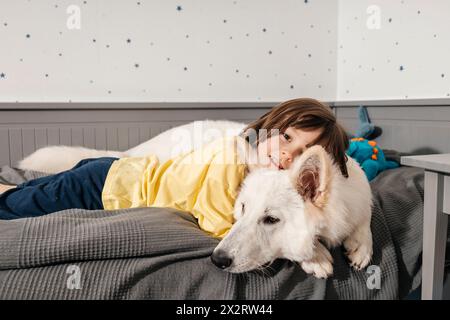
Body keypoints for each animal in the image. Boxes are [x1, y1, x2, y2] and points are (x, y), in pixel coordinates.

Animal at [211, 144, 372, 278]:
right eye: (243, 207)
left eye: (271, 219)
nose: (217, 259)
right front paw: (316, 256)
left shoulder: (360, 198)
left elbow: (366, 217)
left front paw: (361, 245)